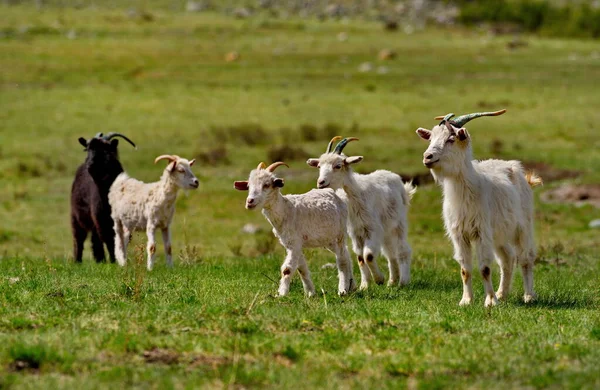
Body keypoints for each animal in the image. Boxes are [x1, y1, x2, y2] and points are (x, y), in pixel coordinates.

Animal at [70, 133, 136, 264]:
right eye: (87, 149)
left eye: (106, 149)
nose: (90, 165)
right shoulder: (101, 218)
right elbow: (109, 240)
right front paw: (114, 261)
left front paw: (120, 260)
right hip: (76, 216)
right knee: (79, 238)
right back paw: (78, 261)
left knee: (95, 239)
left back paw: (100, 260)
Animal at [232, 161, 352, 296]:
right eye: (248, 186)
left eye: (266, 185)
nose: (250, 201)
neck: (286, 209)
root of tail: (336, 195)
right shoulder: (292, 243)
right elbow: (302, 268)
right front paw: (310, 293)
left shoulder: (294, 242)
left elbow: (287, 269)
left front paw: (282, 294)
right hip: (328, 240)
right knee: (346, 254)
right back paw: (351, 286)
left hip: (340, 233)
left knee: (342, 260)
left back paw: (342, 290)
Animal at [308, 137, 414, 290]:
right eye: (319, 166)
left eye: (338, 166)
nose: (321, 182)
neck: (355, 196)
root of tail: (395, 177)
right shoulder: (355, 232)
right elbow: (360, 258)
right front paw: (365, 285)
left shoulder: (372, 228)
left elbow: (368, 255)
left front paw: (379, 279)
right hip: (385, 229)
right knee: (390, 252)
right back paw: (393, 280)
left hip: (398, 223)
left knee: (403, 249)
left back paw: (403, 281)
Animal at [418, 110, 544, 308]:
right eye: (431, 139)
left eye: (451, 139)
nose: (427, 157)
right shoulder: (459, 234)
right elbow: (465, 269)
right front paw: (466, 300)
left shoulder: (481, 231)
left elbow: (484, 268)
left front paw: (490, 301)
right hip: (499, 233)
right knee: (507, 258)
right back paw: (502, 294)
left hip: (523, 226)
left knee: (526, 258)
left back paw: (529, 295)